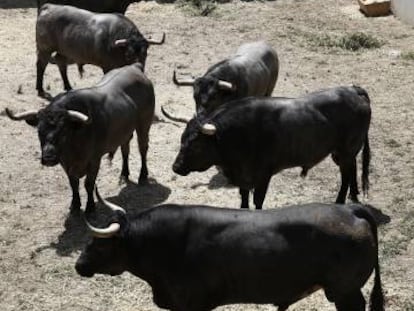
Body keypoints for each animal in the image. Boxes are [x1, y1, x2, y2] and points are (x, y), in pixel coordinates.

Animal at [5, 64, 154, 212]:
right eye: (39, 131)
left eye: (63, 131)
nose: (48, 158)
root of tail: (134, 67)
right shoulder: (66, 163)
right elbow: (73, 183)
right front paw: (75, 205)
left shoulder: (94, 160)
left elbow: (89, 184)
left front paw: (90, 207)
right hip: (125, 133)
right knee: (125, 150)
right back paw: (124, 175)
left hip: (144, 125)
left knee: (143, 149)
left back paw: (142, 176)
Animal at [35, 3, 164, 96]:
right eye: (129, 54)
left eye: (145, 54)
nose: (139, 68)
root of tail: (48, 7)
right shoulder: (107, 67)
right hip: (45, 49)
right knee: (41, 65)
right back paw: (40, 90)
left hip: (64, 51)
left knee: (61, 63)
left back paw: (68, 87)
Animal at [171, 86, 372, 210]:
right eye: (182, 140)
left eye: (196, 144)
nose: (176, 167)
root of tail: (353, 91)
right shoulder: (243, 179)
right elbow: (244, 199)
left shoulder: (263, 176)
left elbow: (258, 201)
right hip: (341, 153)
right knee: (352, 169)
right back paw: (354, 196)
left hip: (346, 151)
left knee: (346, 176)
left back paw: (340, 201)